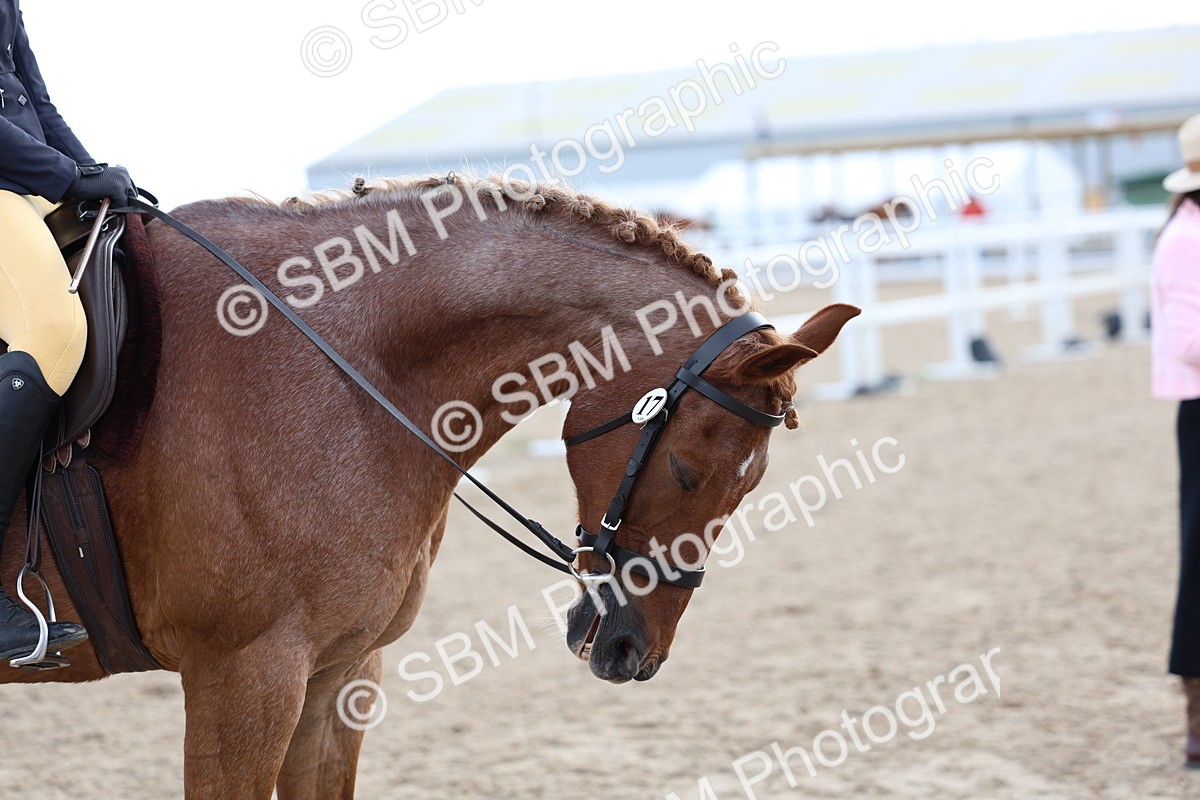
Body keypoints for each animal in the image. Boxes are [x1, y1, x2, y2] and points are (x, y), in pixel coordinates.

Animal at [0, 173, 858, 799]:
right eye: (688, 470)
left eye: (748, 488)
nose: (630, 652)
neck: (343, 365)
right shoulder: (241, 677)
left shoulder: (338, 674)